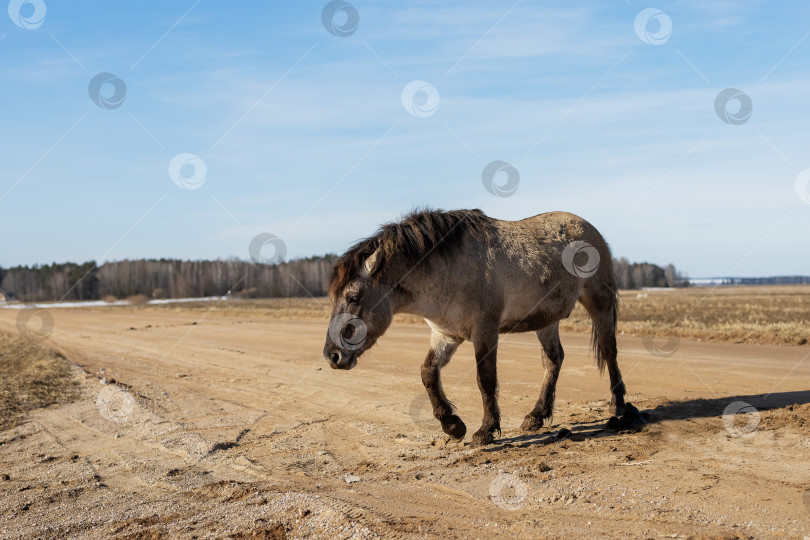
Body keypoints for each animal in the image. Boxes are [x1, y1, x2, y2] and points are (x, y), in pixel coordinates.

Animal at [322, 208, 625, 446]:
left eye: (353, 297)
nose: (332, 356)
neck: (448, 269)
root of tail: (588, 228)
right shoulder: (445, 335)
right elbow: (428, 373)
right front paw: (453, 425)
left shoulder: (485, 331)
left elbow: (485, 379)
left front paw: (486, 430)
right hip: (546, 321)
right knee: (554, 360)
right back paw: (536, 416)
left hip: (599, 301)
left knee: (609, 351)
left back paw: (619, 408)